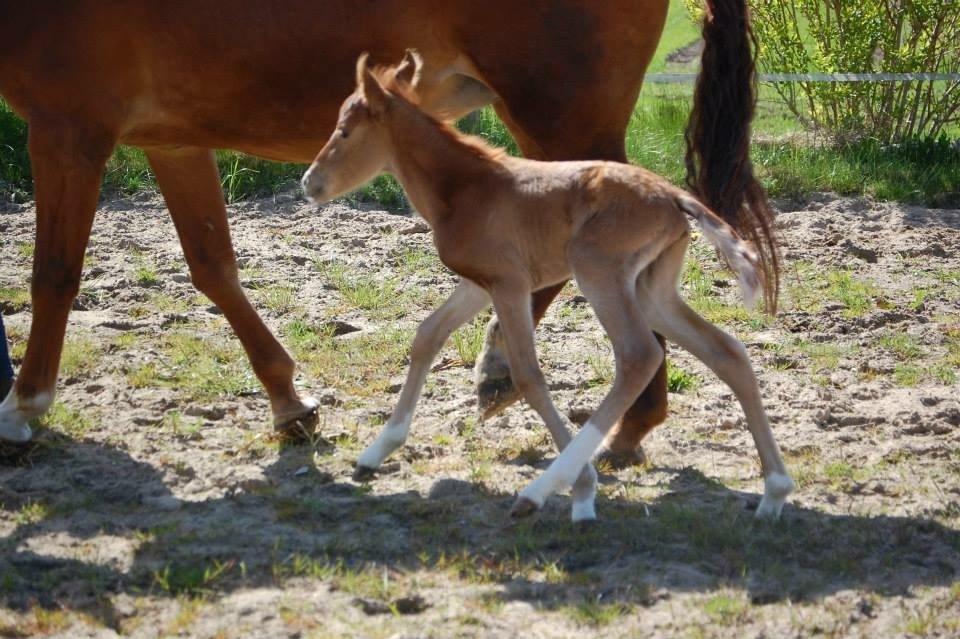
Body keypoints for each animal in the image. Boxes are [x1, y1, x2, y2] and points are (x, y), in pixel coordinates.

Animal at [0, 0, 776, 450]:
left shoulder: (69, 130)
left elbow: (54, 275)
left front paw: (24, 403)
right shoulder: (172, 141)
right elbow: (212, 266)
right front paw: (289, 400)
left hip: (563, 119)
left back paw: (608, 415)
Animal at [302, 52, 796, 524]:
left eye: (344, 131)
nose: (309, 182)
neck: (466, 188)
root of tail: (675, 197)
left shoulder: (510, 283)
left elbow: (528, 373)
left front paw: (583, 489)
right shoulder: (479, 284)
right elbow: (427, 335)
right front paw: (376, 451)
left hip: (599, 272)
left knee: (639, 355)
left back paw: (540, 491)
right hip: (652, 289)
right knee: (727, 352)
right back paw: (774, 493)